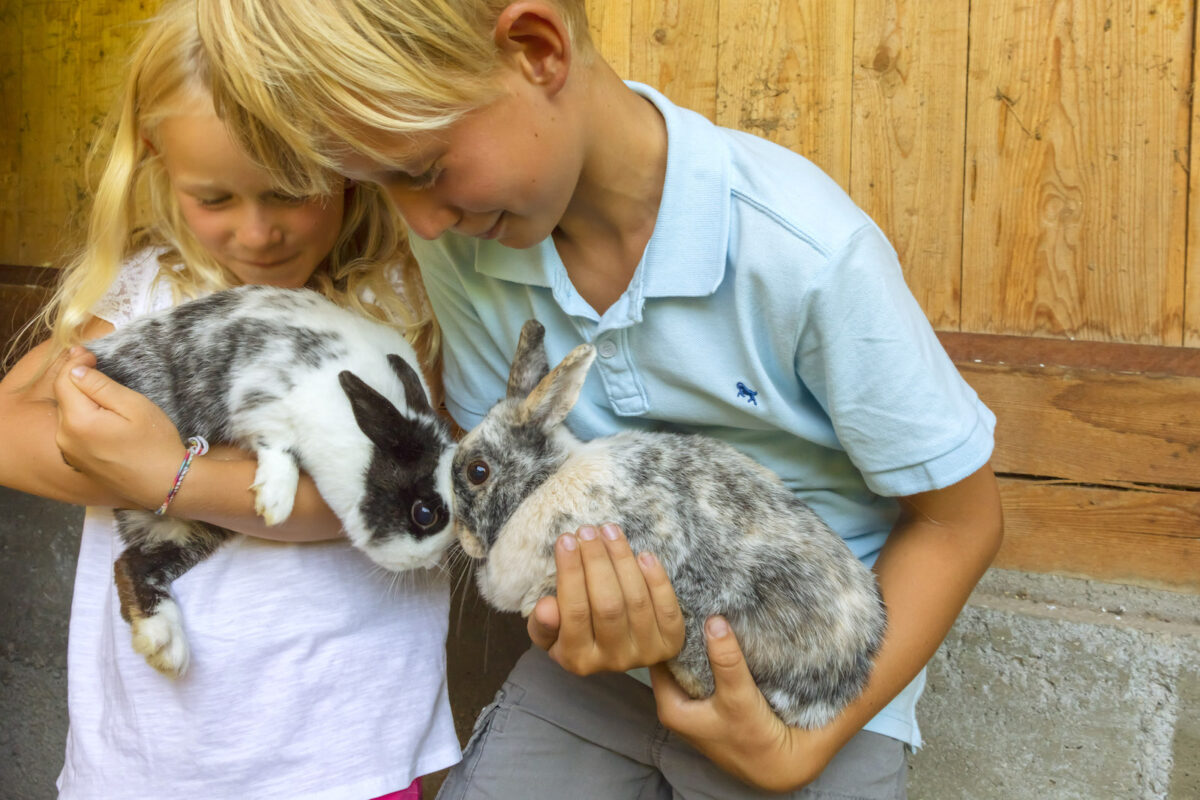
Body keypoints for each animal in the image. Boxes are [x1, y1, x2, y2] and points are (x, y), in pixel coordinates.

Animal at [87, 284, 453, 681]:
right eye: (424, 513)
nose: (427, 563)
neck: (356, 430)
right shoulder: (260, 401)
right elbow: (279, 450)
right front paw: (275, 503)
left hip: (189, 530)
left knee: (131, 564)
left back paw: (163, 645)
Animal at [453, 321, 888, 734]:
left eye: (478, 472)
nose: (462, 538)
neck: (545, 481)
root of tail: (849, 675)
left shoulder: (652, 534)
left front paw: (534, 599)